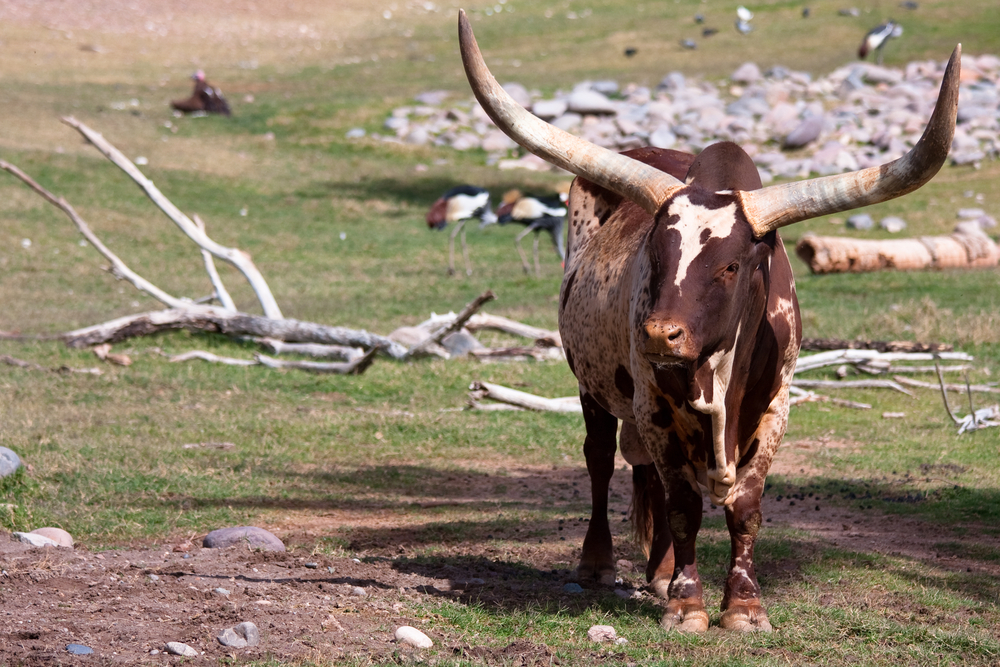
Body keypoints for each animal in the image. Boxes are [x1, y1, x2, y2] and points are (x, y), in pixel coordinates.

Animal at [458, 13, 956, 636]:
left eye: (731, 265)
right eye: (654, 253)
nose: (658, 335)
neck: (717, 378)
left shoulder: (776, 405)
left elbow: (745, 505)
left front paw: (742, 605)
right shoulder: (653, 402)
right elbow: (682, 504)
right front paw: (686, 603)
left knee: (641, 469)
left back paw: (657, 570)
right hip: (593, 383)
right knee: (600, 459)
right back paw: (601, 563)